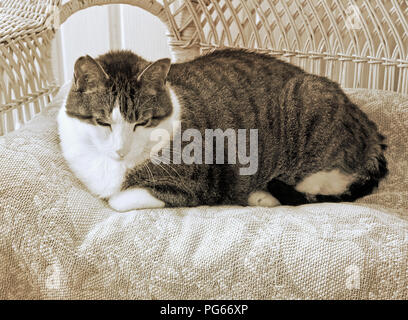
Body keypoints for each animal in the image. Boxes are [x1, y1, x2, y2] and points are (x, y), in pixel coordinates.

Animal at [56, 48, 386, 211]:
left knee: (326, 183)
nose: (120, 149)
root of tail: (369, 128)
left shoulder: (197, 186)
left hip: (309, 99)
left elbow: (117, 200)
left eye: (142, 122)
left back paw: (264, 195)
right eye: (103, 122)